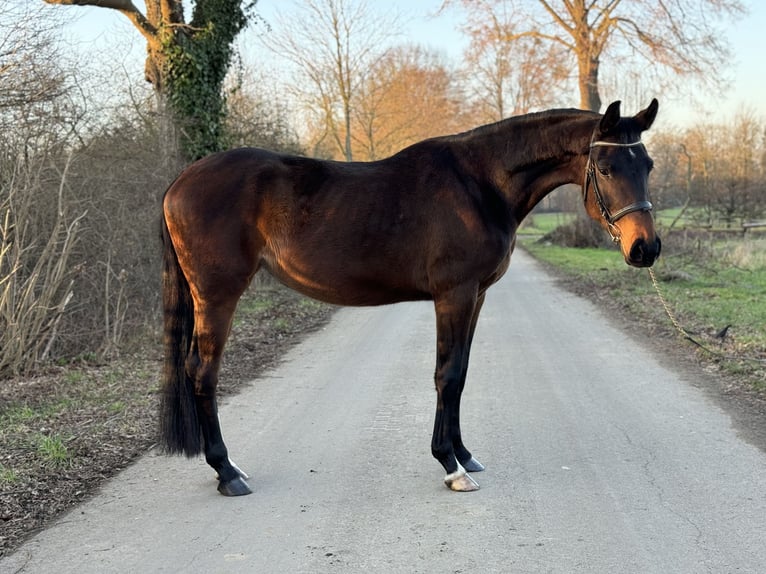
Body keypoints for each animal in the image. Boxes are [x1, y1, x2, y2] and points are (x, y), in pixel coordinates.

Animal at [160, 98, 660, 496]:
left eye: (648, 165)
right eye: (608, 168)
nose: (646, 248)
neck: (482, 182)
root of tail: (178, 182)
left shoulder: (476, 296)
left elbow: (461, 372)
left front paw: (464, 453)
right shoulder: (454, 295)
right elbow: (447, 374)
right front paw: (451, 465)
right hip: (217, 297)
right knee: (202, 372)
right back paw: (227, 472)